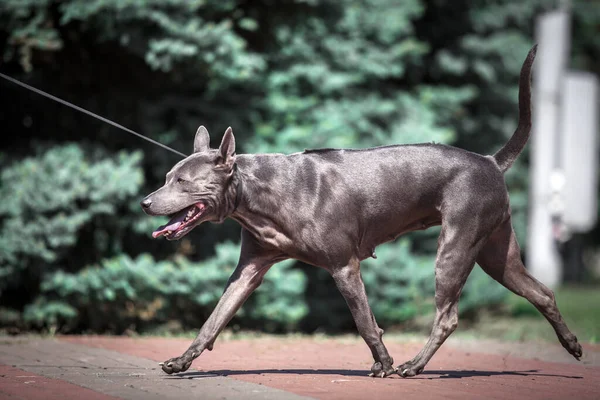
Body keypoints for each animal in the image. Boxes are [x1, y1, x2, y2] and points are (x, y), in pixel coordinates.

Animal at [141, 47, 580, 378]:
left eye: (182, 182)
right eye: (166, 177)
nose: (145, 202)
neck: (257, 194)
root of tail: (490, 161)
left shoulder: (344, 266)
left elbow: (364, 321)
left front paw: (383, 363)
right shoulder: (249, 269)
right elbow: (213, 319)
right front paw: (181, 361)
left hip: (455, 247)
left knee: (448, 317)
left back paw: (413, 366)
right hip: (495, 253)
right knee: (542, 292)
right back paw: (572, 344)